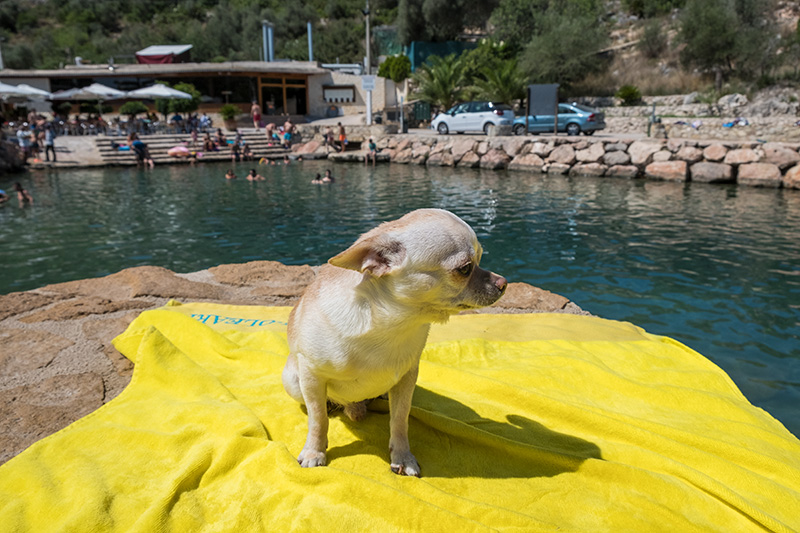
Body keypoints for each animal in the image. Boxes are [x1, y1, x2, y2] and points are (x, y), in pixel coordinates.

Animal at [282, 207, 506, 474]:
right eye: (465, 268)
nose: (504, 283)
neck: (392, 325)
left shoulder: (407, 378)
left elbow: (399, 420)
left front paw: (402, 457)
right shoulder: (312, 376)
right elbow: (318, 420)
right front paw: (314, 452)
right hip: (293, 381)